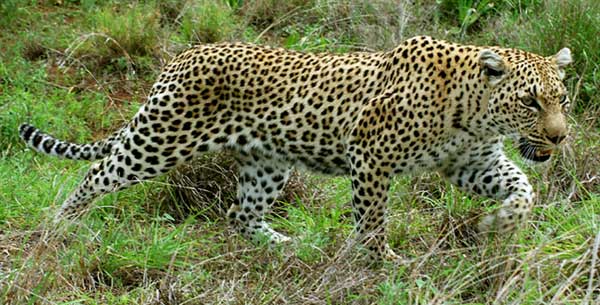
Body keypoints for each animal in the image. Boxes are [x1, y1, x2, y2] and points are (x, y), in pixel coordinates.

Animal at [17, 35, 572, 258]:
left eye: (562, 99)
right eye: (529, 101)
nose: (559, 136)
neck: (476, 113)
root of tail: (182, 56)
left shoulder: (473, 163)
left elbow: (524, 188)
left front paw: (499, 225)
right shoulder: (370, 156)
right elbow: (372, 222)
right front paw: (381, 264)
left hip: (266, 161)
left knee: (240, 215)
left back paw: (289, 246)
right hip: (161, 138)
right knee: (97, 173)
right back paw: (60, 228)